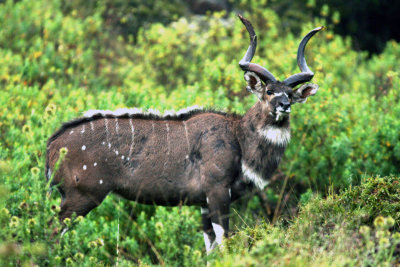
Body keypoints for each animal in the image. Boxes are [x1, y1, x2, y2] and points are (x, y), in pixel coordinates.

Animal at [45, 15, 324, 254]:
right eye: (268, 91)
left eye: (290, 94)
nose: (284, 105)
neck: (240, 139)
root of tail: (52, 146)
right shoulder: (217, 192)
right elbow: (224, 242)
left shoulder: (203, 204)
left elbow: (210, 247)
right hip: (81, 196)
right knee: (51, 232)